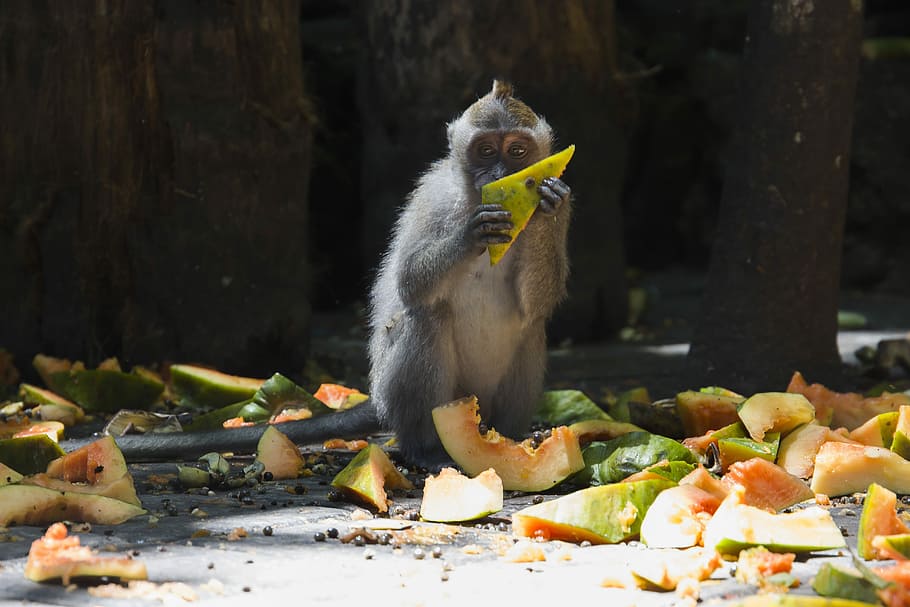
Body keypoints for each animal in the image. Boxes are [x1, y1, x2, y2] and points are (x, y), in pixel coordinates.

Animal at [63, 81, 571, 466]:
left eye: (517, 150)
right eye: (485, 150)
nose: (501, 172)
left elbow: (535, 303)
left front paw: (546, 204)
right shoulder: (435, 199)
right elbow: (410, 283)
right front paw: (472, 234)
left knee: (531, 330)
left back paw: (510, 440)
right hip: (402, 393)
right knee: (425, 317)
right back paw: (424, 449)